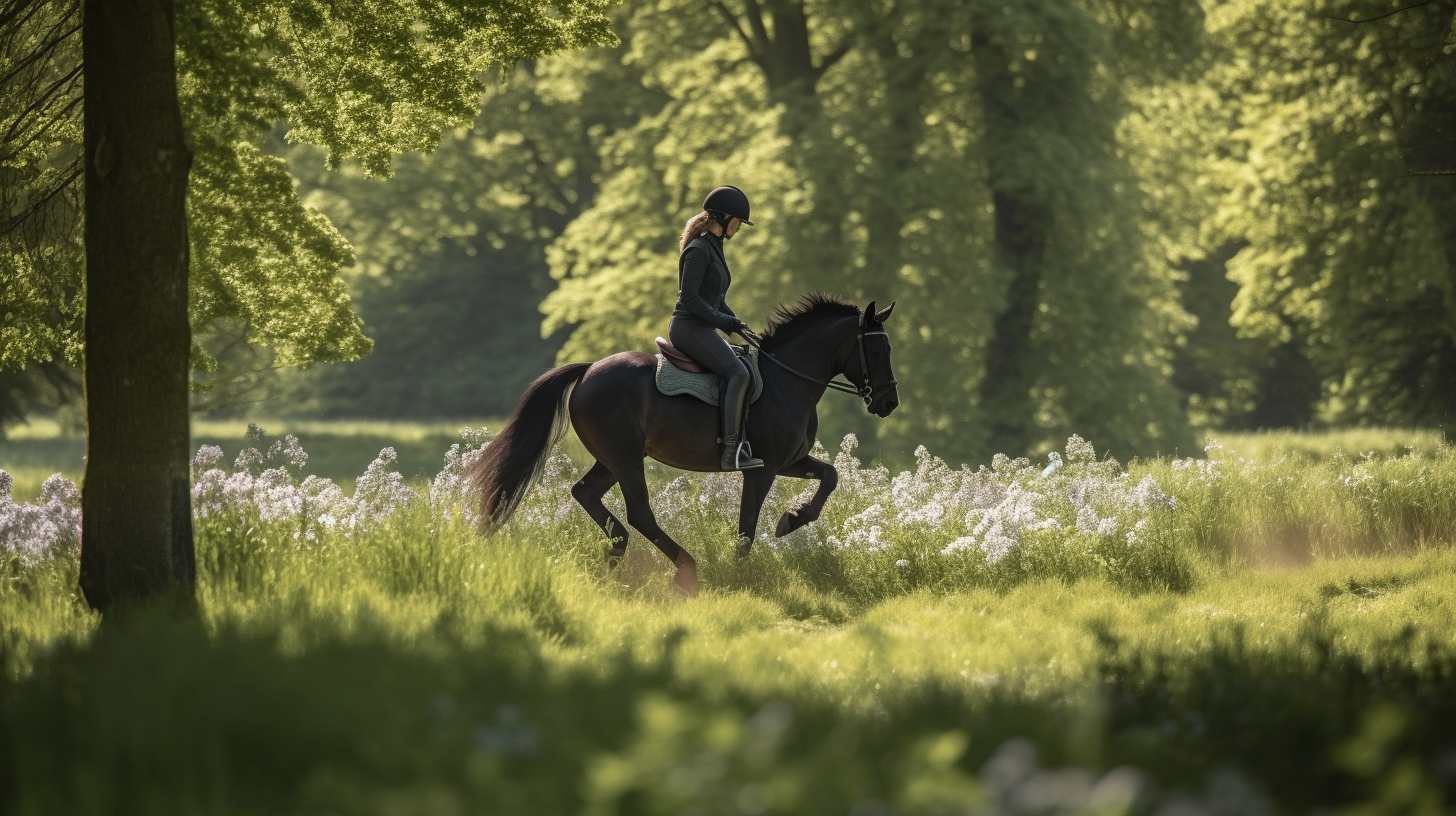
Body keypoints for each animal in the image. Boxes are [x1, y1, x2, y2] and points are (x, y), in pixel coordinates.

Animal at [465, 292, 896, 591]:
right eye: (876, 349)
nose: (889, 402)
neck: (786, 381)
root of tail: (588, 371)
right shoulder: (762, 468)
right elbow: (746, 525)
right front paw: (742, 576)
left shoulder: (790, 461)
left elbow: (830, 476)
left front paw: (792, 520)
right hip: (625, 458)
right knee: (640, 513)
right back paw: (685, 569)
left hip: (613, 458)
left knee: (586, 493)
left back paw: (616, 553)